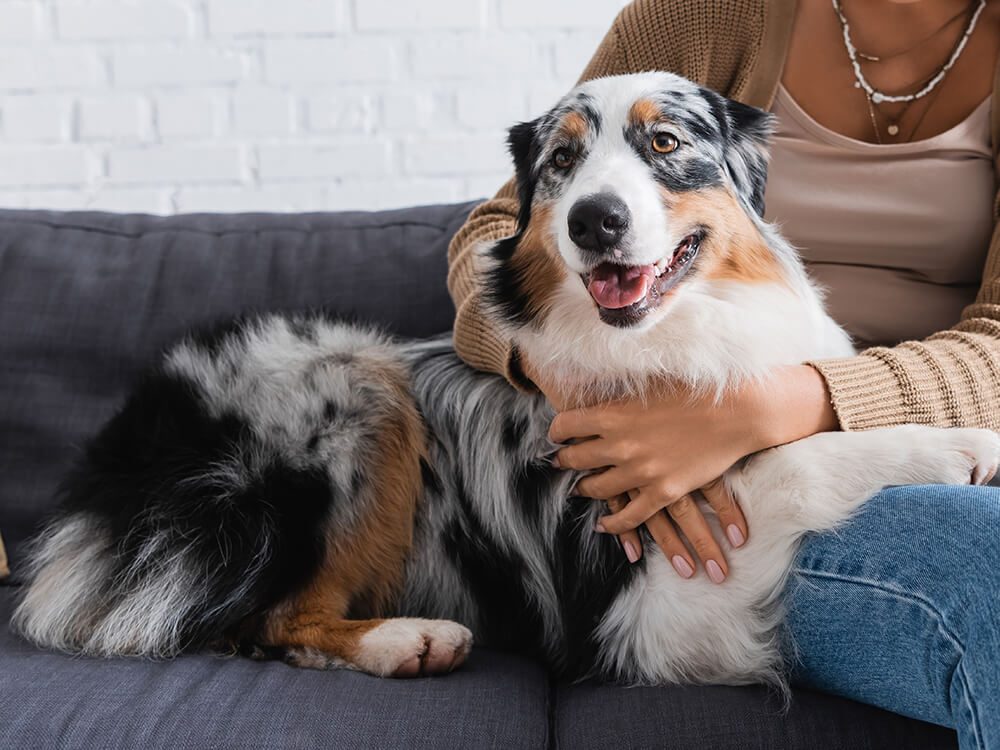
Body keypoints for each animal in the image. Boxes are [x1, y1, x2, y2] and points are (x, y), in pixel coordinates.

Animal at [13, 75, 1000, 688]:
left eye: (666, 141)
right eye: (562, 162)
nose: (596, 220)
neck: (681, 333)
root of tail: (115, 469)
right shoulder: (657, 600)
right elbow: (792, 460)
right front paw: (960, 443)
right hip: (352, 378)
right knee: (270, 617)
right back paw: (408, 641)